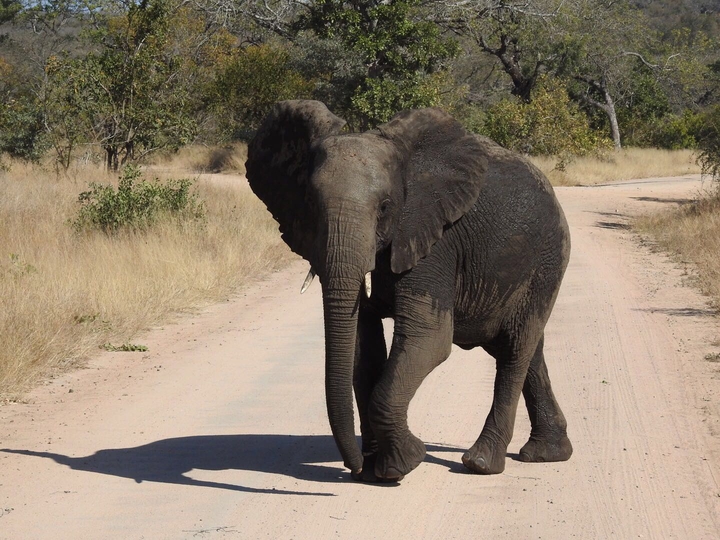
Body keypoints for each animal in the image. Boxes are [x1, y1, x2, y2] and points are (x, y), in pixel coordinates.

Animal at [245, 100, 572, 482]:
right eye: (310, 204)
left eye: (385, 207)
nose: (352, 468)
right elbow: (362, 338)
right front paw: (376, 470)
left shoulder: (436, 238)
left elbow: (428, 337)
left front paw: (401, 466)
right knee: (526, 348)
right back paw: (547, 454)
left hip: (547, 261)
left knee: (516, 349)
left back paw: (480, 464)